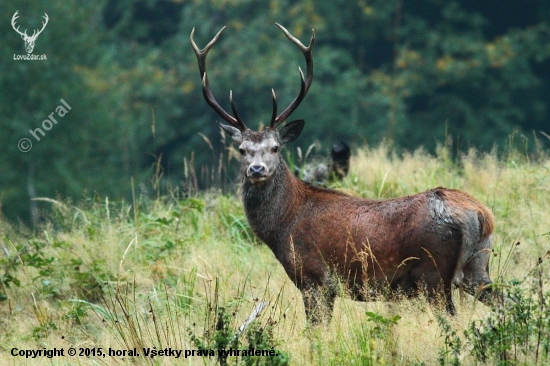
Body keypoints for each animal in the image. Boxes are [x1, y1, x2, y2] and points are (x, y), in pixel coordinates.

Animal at [192, 24, 498, 324]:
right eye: (241, 149)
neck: (283, 225)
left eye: (275, 147)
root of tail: (481, 214)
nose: (257, 169)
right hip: (477, 268)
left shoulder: (314, 277)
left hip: (434, 272)